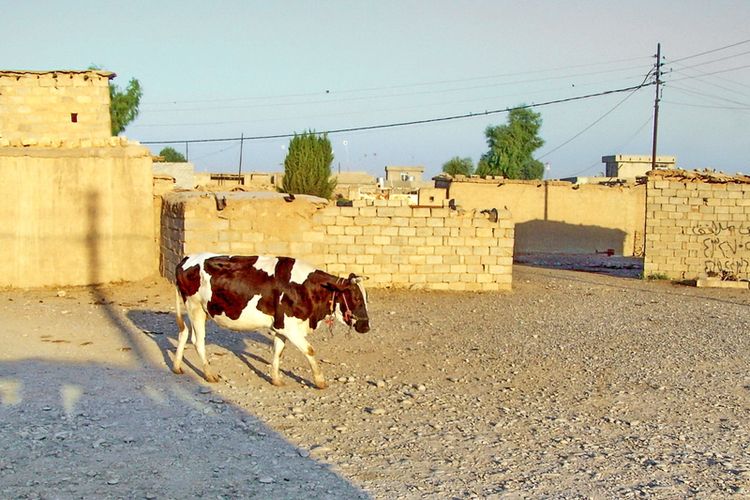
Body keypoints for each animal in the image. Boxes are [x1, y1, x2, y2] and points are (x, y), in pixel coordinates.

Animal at [171, 252, 370, 388]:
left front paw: (276, 379)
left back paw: (177, 367)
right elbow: (309, 350)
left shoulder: (280, 326)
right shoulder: (289, 326)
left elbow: (278, 351)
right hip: (195, 307)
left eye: (366, 298)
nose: (366, 326)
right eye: (357, 298)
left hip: (197, 310)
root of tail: (187, 258)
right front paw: (320, 381)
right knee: (197, 340)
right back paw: (210, 374)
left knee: (183, 333)